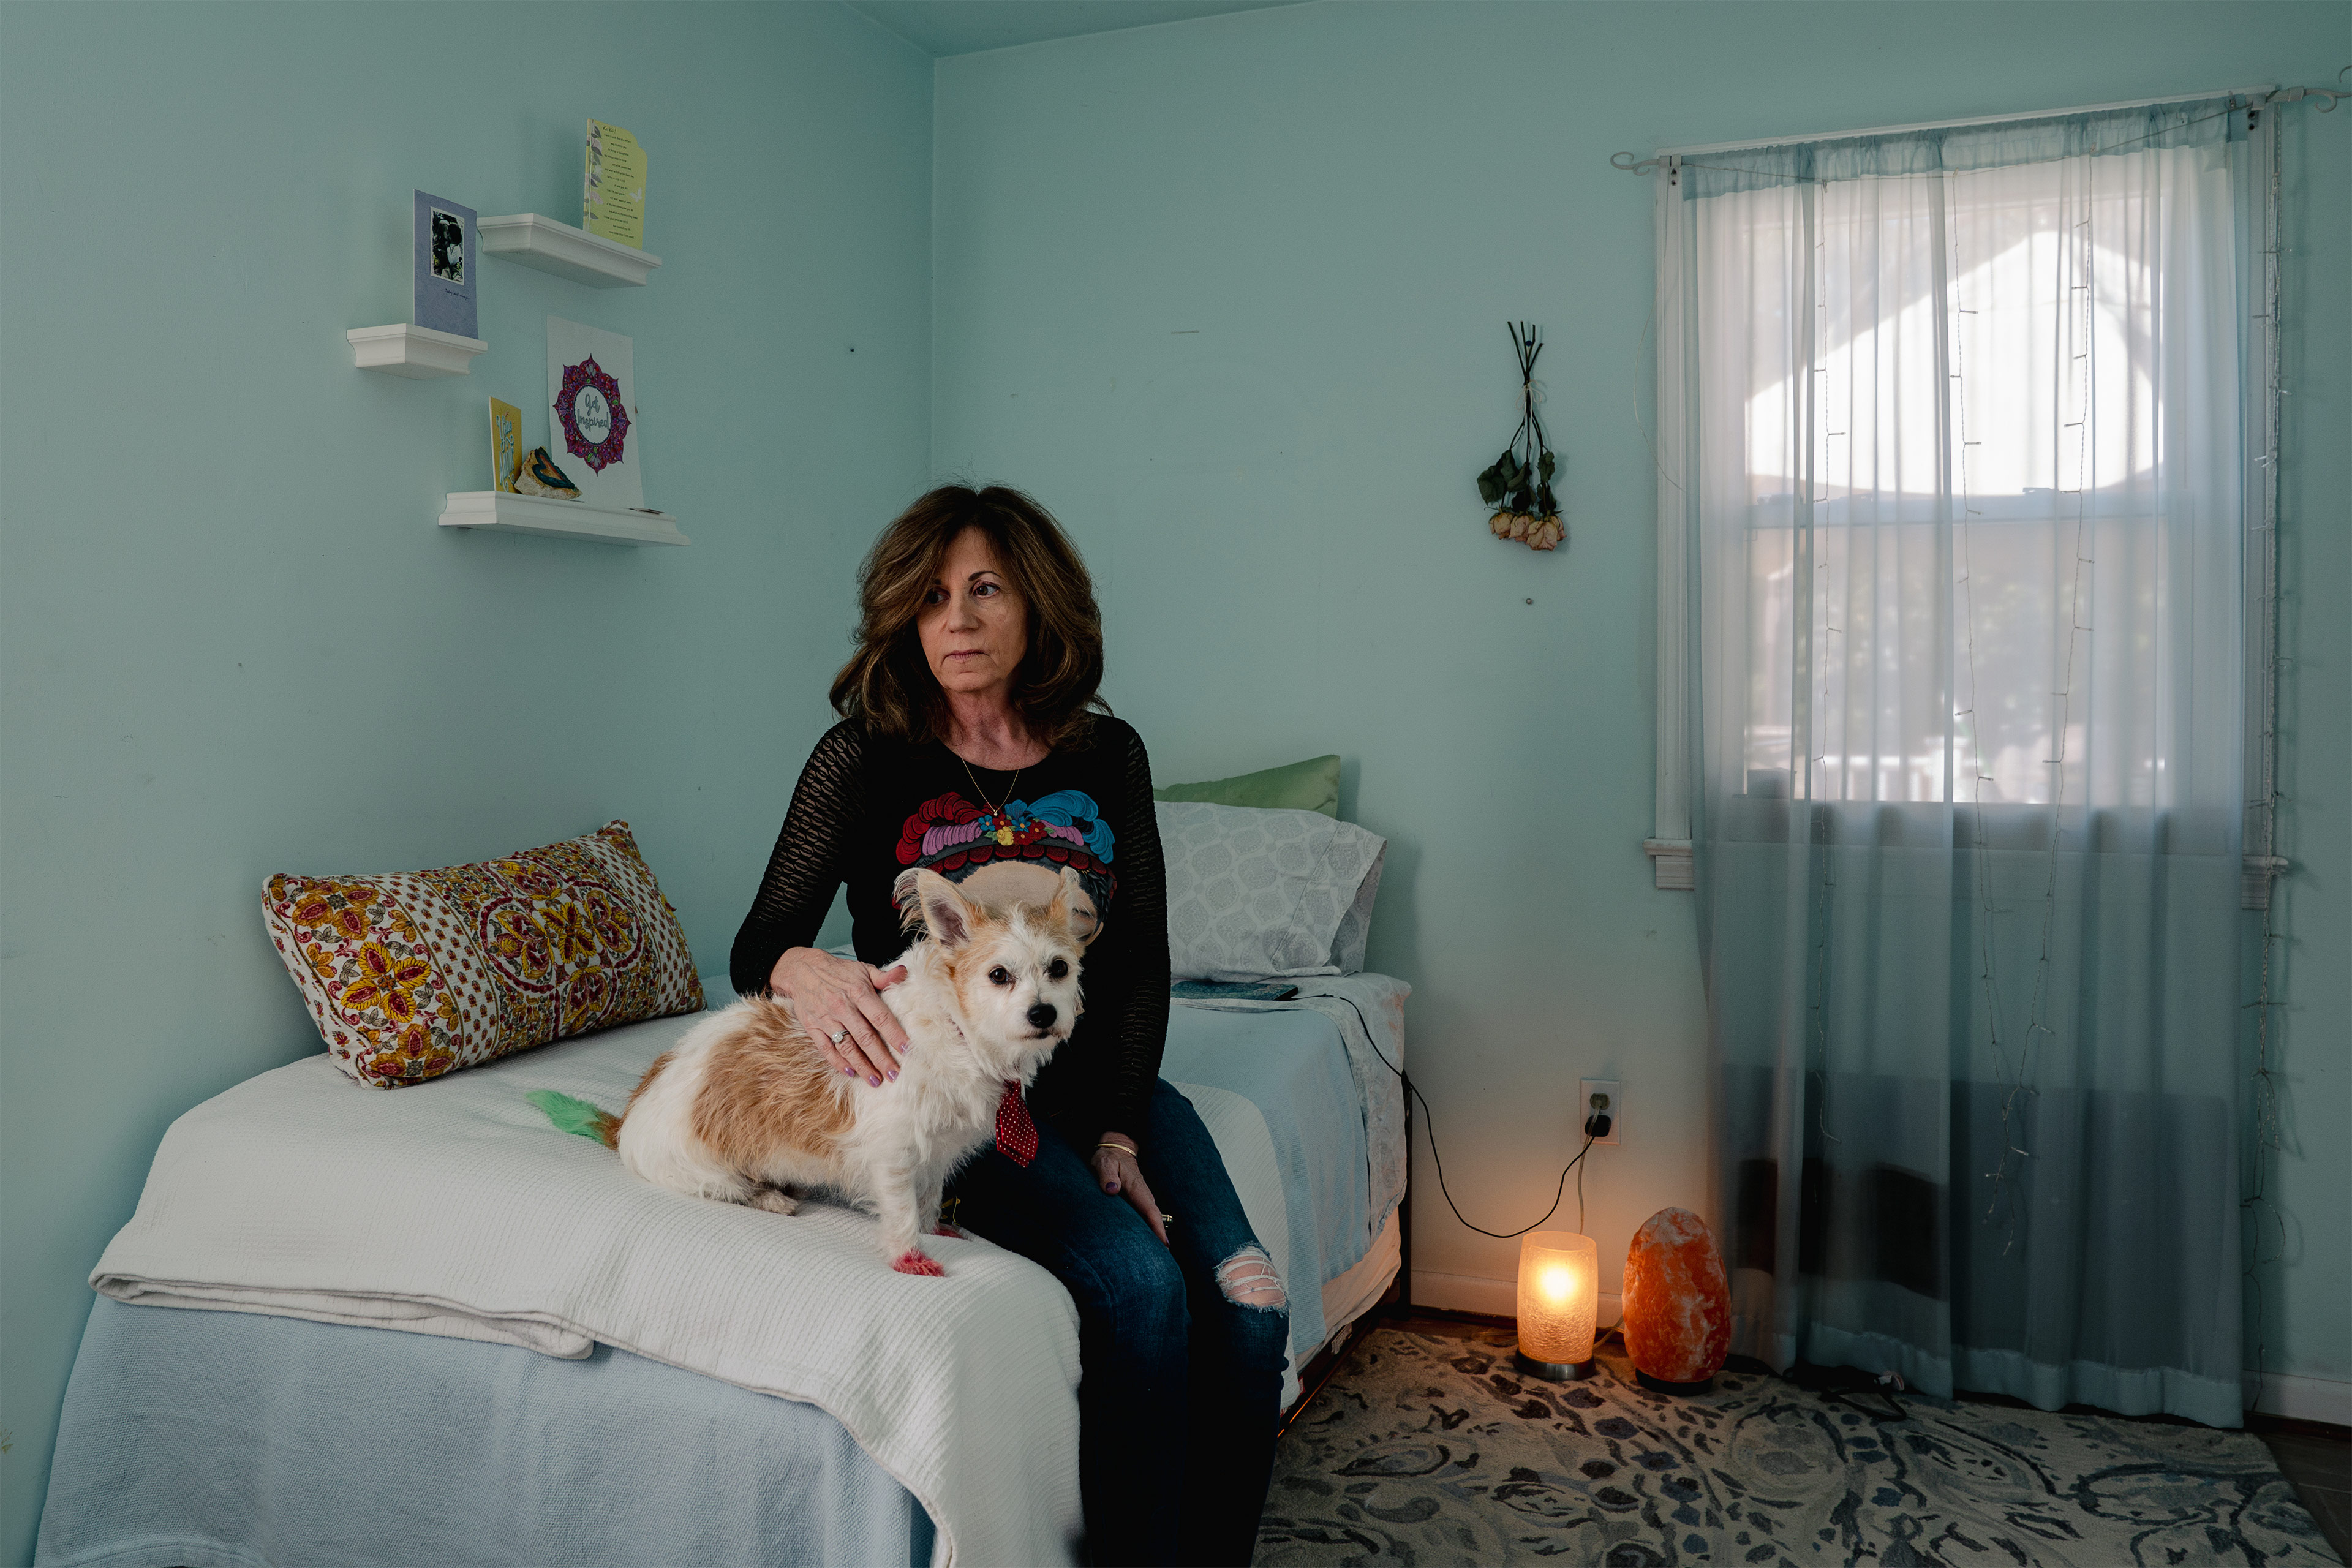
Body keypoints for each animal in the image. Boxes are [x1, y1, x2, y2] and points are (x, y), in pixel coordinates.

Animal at [597, 865, 1091, 1278]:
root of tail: (629, 1116)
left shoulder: (937, 1153)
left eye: (1060, 968)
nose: (1043, 1013)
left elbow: (929, 1198)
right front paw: (909, 1255)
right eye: (998, 975)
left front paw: (935, 1230)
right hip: (702, 1171)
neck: (961, 1035)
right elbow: (903, 1210)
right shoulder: (893, 1152)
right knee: (730, 1189)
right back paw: (771, 1197)